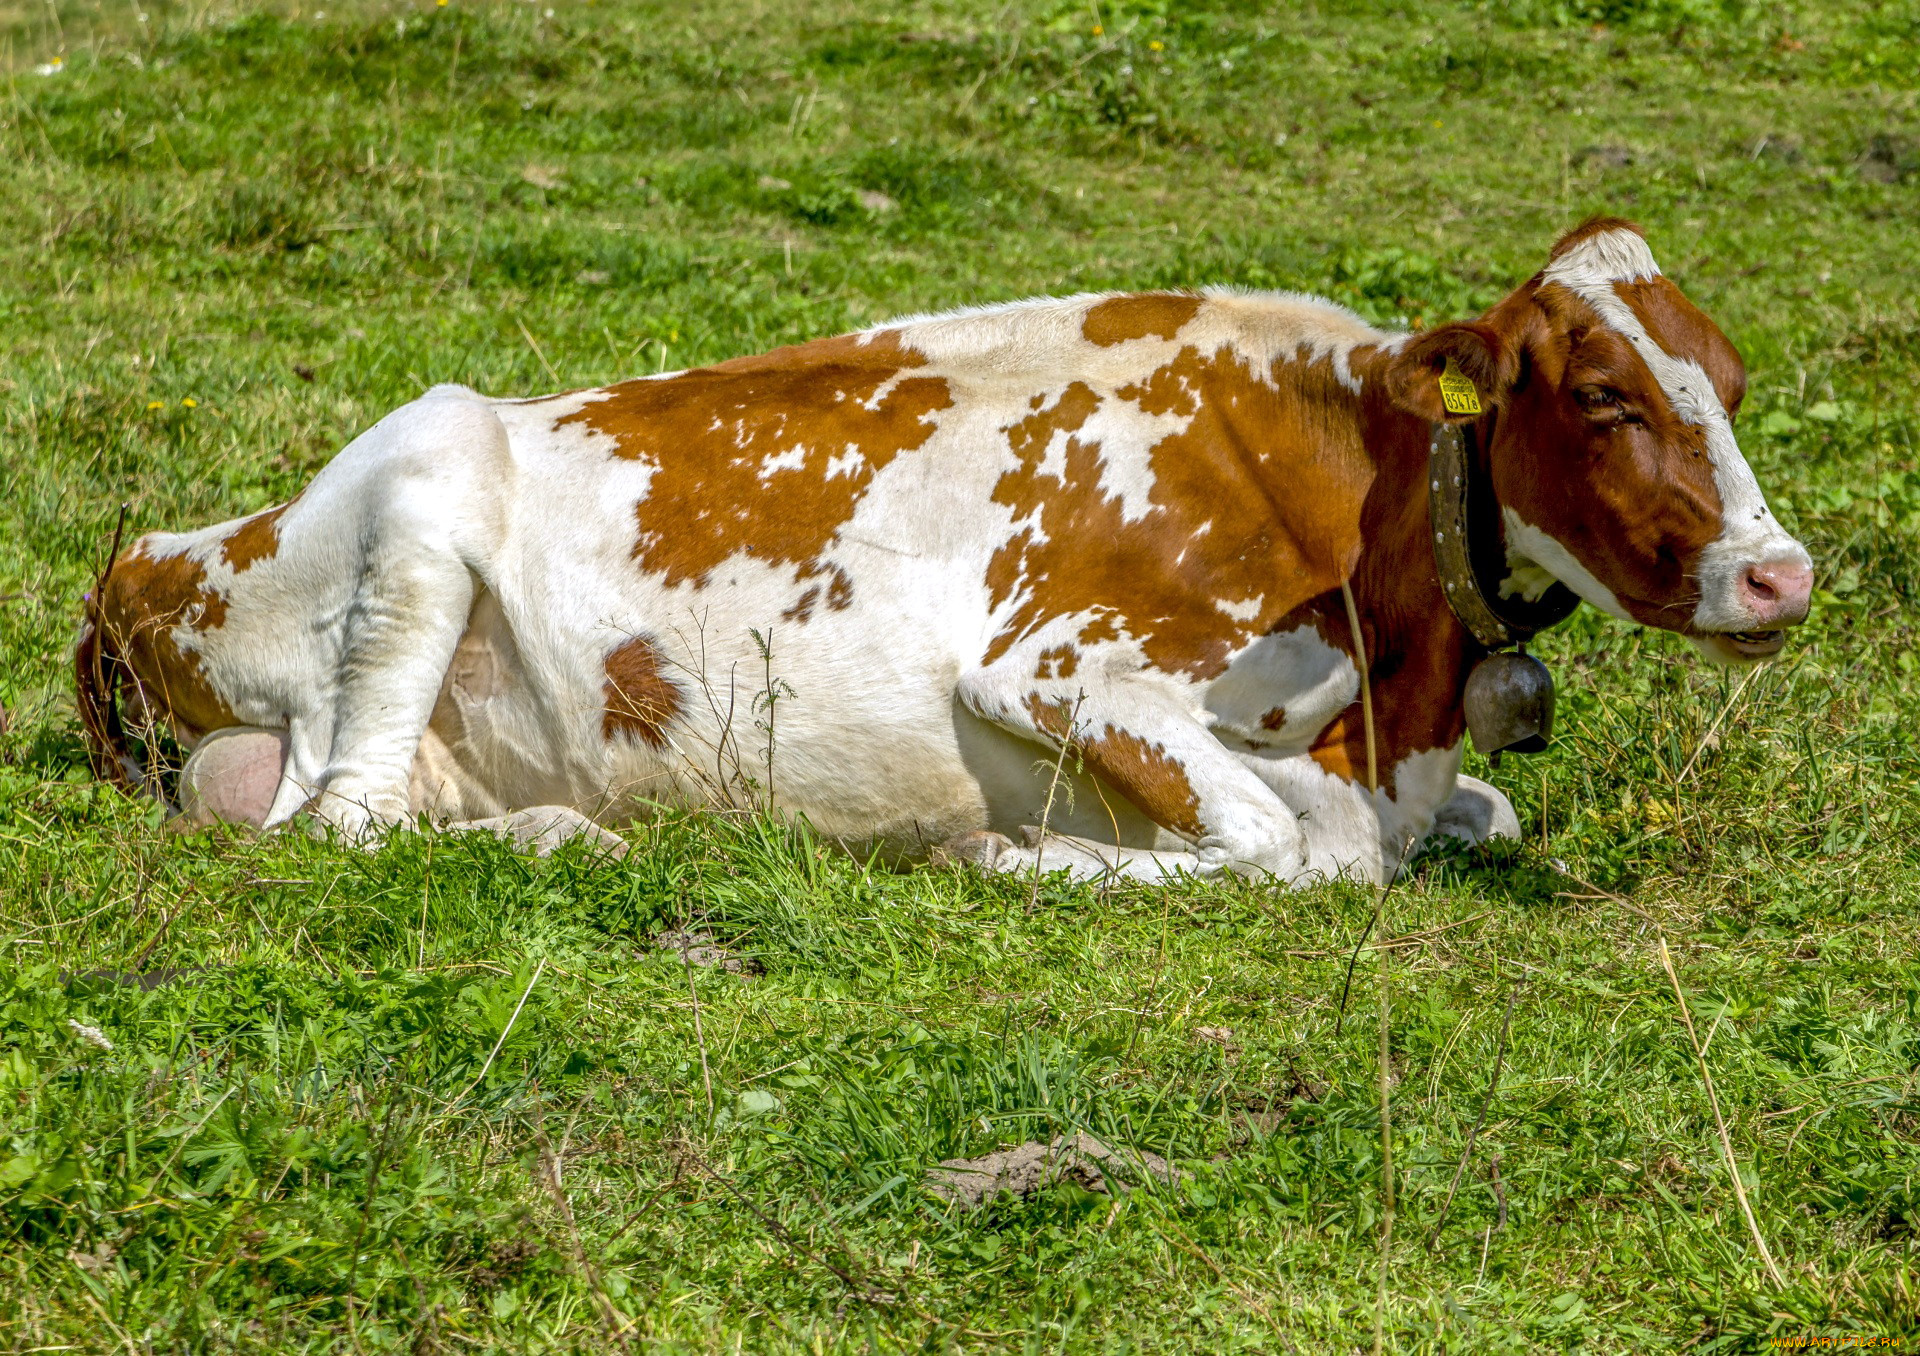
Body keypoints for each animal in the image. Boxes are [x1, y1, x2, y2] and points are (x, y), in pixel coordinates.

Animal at [76, 218, 1812, 885]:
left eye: (1729, 385)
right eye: (1603, 394)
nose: (1780, 575)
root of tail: (137, 555)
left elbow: (1477, 817)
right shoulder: (1047, 671)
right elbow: (1275, 846)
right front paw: (1019, 859)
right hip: (423, 496)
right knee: (341, 822)